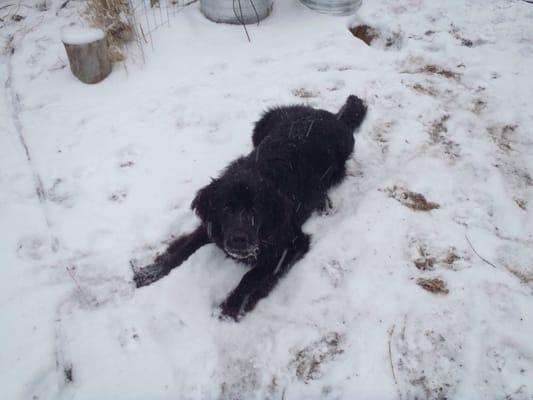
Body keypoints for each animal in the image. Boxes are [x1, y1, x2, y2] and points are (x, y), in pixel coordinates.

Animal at [133, 95, 366, 320]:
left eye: (255, 209)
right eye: (226, 208)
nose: (239, 240)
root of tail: (333, 116)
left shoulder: (293, 242)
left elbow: (252, 275)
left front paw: (229, 308)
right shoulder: (213, 224)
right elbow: (183, 248)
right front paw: (150, 272)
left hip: (337, 163)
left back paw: (323, 202)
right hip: (262, 124)